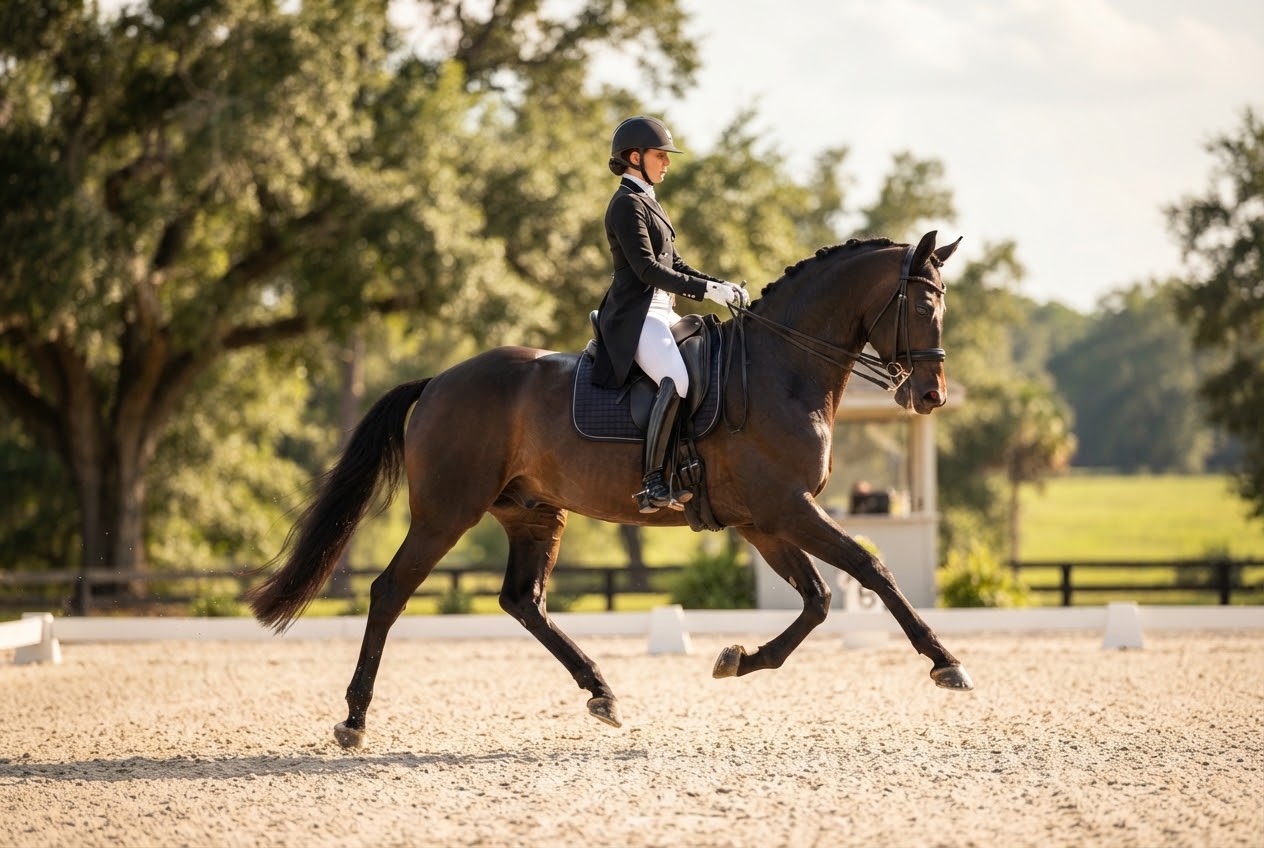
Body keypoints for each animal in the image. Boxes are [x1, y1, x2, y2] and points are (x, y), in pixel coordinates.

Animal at [246, 230, 972, 748]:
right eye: (922, 304)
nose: (931, 396)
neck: (780, 369)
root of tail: (439, 381)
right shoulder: (787, 508)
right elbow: (870, 570)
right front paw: (945, 662)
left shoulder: (764, 520)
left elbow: (819, 599)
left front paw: (736, 659)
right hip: (445, 513)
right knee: (391, 591)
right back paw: (354, 720)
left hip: (534, 513)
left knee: (524, 601)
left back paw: (601, 692)